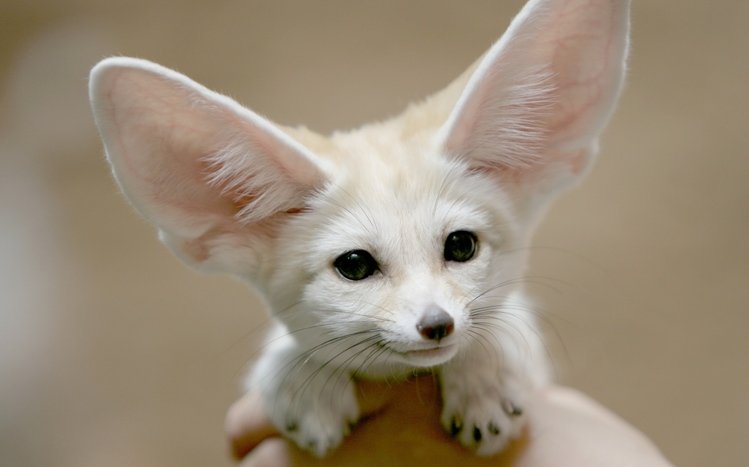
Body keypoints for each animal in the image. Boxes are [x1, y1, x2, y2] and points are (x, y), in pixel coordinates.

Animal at [89, 0, 629, 458]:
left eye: (461, 245)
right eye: (354, 265)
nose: (437, 324)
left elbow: (503, 322)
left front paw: (484, 377)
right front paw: (303, 380)